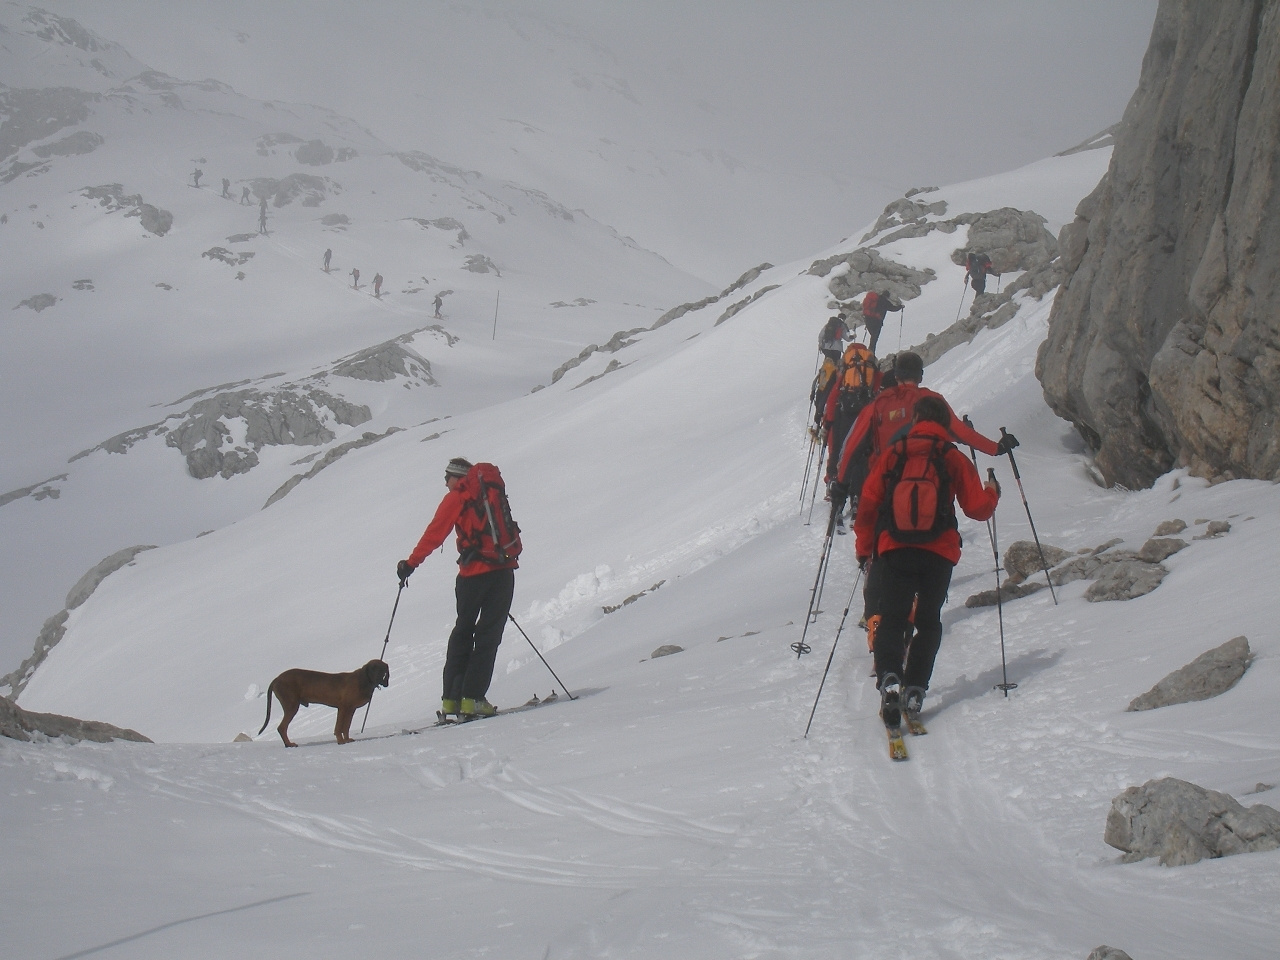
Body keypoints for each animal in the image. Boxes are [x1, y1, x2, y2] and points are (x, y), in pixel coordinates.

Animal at [254, 665, 384, 747]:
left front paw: (347, 740)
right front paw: (341, 741)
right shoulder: (343, 707)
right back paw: (289, 744)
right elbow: (339, 728)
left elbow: (346, 727)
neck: (362, 680)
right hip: (291, 706)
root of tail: (276, 679)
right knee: (281, 727)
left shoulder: (350, 709)